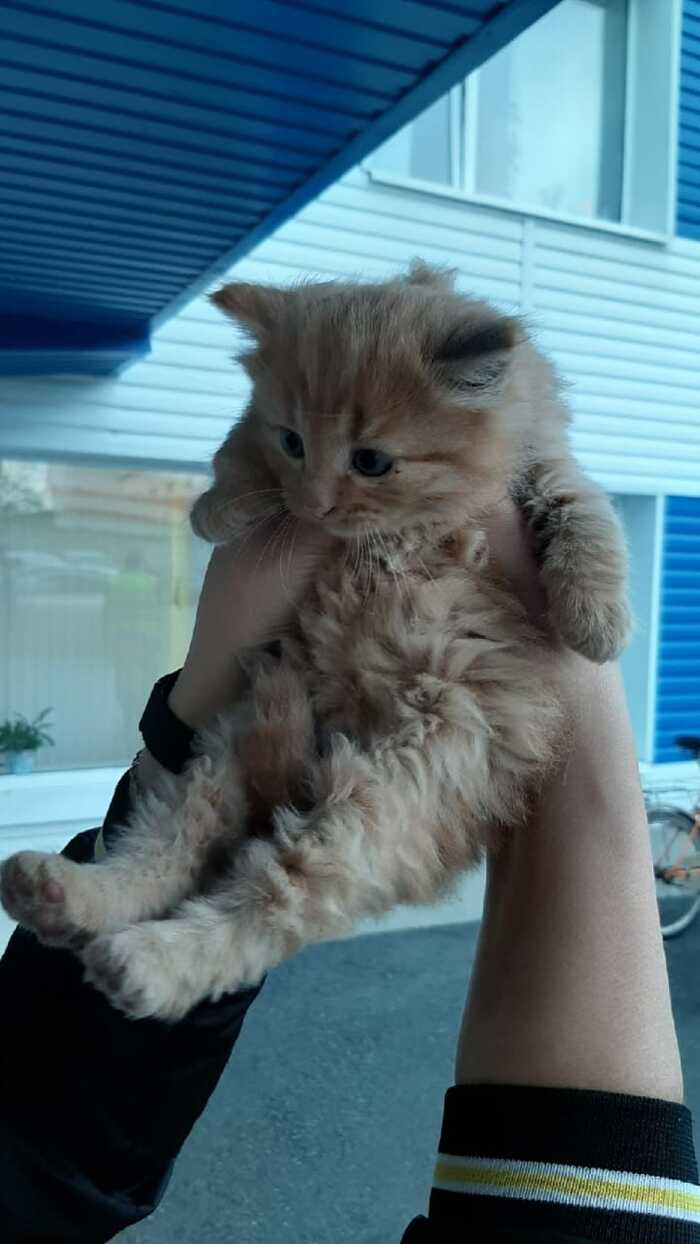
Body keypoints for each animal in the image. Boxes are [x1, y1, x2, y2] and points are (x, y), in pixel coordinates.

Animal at [0, 261, 630, 1022]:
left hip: (382, 799)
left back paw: (137, 958)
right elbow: (234, 446)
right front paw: (222, 507)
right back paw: (70, 898)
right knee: (175, 855)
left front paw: (597, 620)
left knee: (268, 902)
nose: (313, 507)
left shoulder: (543, 460)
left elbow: (582, 506)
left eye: (371, 461)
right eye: (293, 442)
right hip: (228, 752)